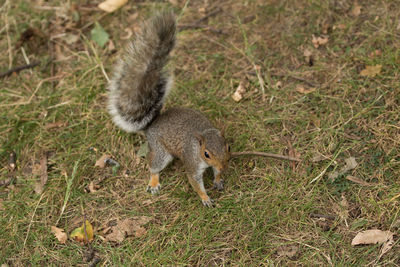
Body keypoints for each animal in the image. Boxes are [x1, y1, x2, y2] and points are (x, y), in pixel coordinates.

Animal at [108, 11, 230, 207]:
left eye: (228, 147)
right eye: (206, 154)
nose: (224, 165)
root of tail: (152, 124)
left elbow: (216, 173)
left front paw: (218, 179)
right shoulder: (191, 161)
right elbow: (194, 181)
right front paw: (205, 198)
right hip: (160, 151)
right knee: (153, 166)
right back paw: (153, 182)